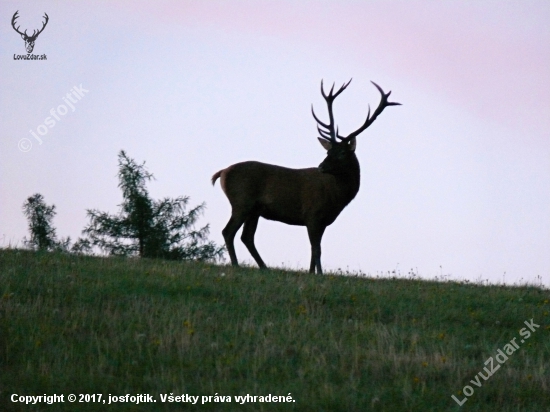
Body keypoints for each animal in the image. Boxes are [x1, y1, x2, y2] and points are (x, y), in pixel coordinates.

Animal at [212, 79, 402, 274]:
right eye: (328, 151)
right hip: (242, 201)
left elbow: (314, 248)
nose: (321, 167)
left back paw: (264, 267)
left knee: (247, 237)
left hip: (254, 210)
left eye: (341, 153)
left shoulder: (323, 221)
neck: (337, 198)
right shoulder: (312, 214)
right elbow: (316, 248)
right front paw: (320, 274)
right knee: (228, 231)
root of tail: (222, 172)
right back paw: (236, 265)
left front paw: (311, 273)